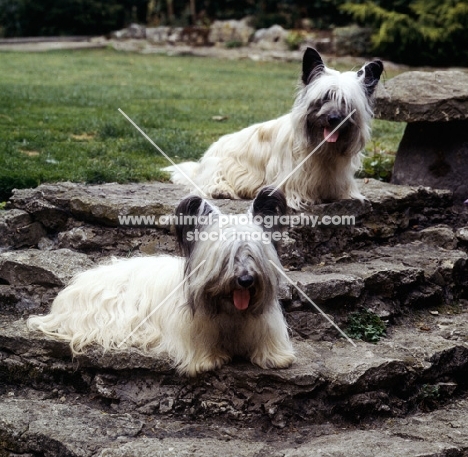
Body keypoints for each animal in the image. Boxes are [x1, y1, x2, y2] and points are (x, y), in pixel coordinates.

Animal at [27, 187, 294, 376]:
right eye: (227, 256)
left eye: (253, 254)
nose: (245, 280)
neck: (229, 311)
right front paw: (208, 361)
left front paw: (275, 357)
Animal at [166, 47, 382, 209]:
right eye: (325, 97)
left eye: (346, 102)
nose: (334, 119)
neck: (322, 150)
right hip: (218, 165)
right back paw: (221, 190)